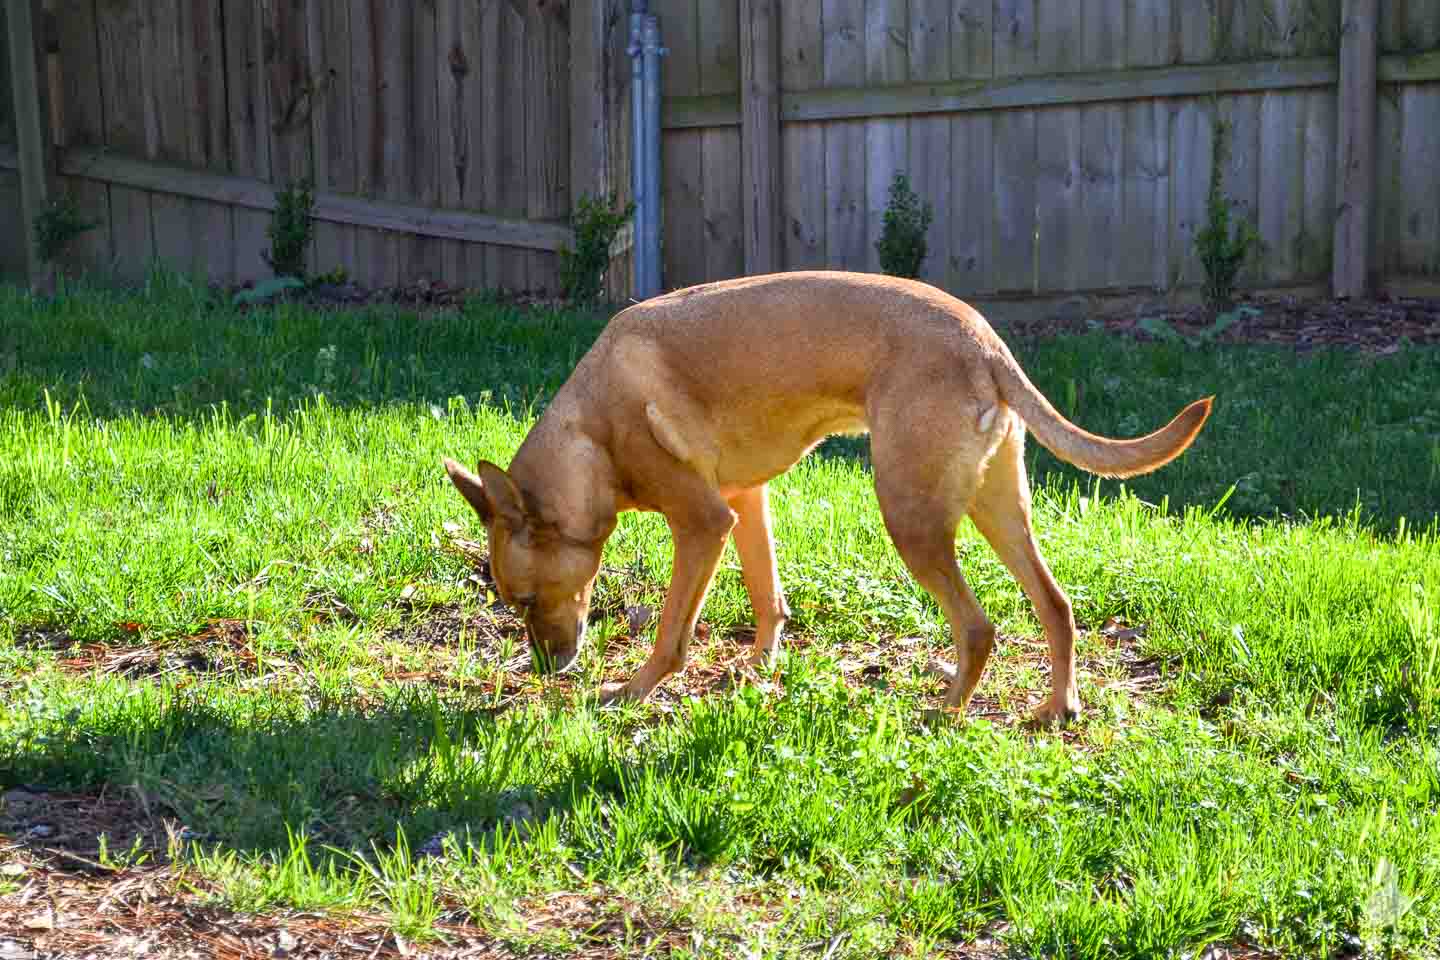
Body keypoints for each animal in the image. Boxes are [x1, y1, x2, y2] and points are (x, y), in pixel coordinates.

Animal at [443, 269, 1209, 719]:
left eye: (524, 600)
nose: (549, 669)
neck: (591, 432)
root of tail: (986, 344)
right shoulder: (743, 505)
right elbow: (768, 600)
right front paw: (758, 670)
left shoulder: (702, 521)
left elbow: (672, 634)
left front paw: (633, 691)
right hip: (998, 510)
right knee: (1056, 605)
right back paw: (1057, 707)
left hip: (911, 518)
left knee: (978, 626)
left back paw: (945, 711)